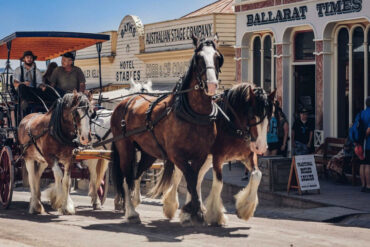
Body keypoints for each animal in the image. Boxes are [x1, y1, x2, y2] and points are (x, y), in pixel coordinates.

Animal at [110, 34, 225, 226]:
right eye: (199, 58)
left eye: (218, 57)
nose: (211, 85)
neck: (193, 113)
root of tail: (125, 101)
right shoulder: (177, 155)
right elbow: (191, 179)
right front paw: (194, 212)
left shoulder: (200, 155)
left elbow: (194, 180)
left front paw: (191, 210)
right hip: (124, 147)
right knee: (127, 178)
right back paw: (131, 212)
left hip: (148, 153)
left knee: (136, 175)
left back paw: (134, 202)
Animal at [150, 83, 274, 226]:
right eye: (252, 115)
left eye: (269, 116)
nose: (261, 147)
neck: (231, 123)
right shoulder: (218, 158)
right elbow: (218, 183)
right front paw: (215, 215)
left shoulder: (248, 157)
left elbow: (257, 175)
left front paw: (244, 209)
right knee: (179, 177)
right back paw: (172, 206)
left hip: (205, 158)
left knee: (196, 178)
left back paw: (192, 210)